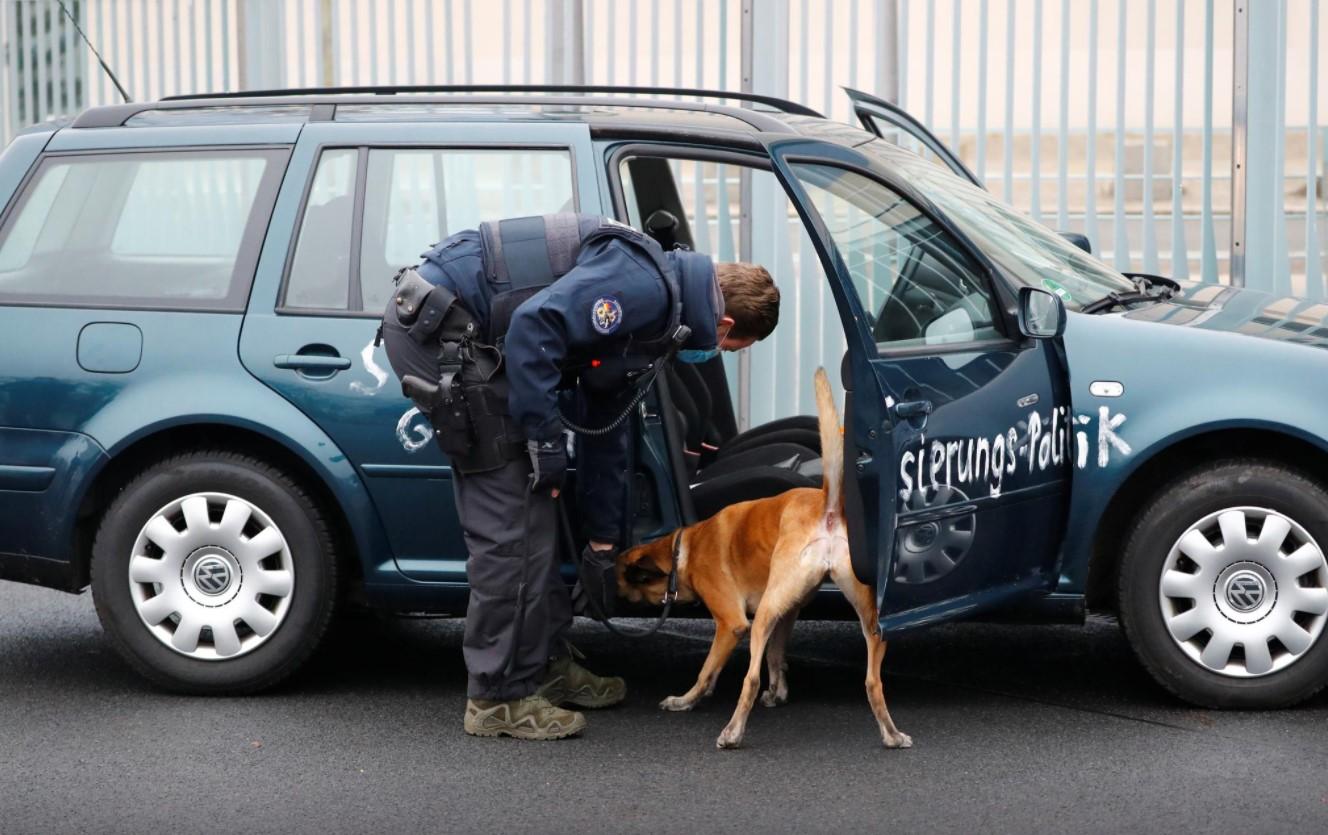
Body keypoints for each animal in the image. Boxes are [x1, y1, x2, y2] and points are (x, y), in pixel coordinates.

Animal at [613, 369, 908, 748]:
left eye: (623, 578)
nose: (611, 593)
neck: (684, 546)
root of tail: (827, 505)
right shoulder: (787, 612)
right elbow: (776, 655)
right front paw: (778, 691)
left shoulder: (732, 624)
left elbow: (708, 670)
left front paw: (687, 699)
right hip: (864, 619)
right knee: (873, 681)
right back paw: (891, 734)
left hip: (764, 613)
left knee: (749, 679)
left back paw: (732, 732)